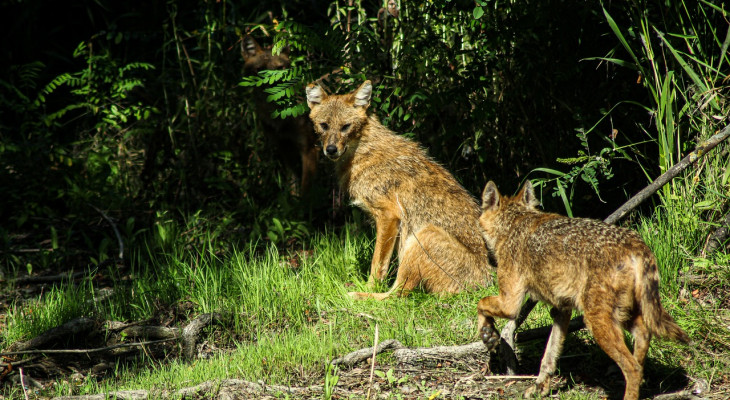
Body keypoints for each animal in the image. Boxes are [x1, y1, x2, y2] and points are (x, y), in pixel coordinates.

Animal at [242, 35, 318, 194]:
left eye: (280, 68)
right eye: (260, 70)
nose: (272, 85)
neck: (279, 117)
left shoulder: (308, 147)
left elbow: (306, 190)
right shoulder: (283, 147)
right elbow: (292, 184)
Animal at [304, 80, 492, 300]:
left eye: (345, 127)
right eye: (324, 126)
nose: (331, 149)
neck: (362, 151)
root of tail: (485, 284)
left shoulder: (389, 215)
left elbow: (377, 265)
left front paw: (368, 288)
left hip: (423, 235)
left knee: (396, 295)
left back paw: (356, 295)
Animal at [476, 180, 690, 400]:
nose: (487, 260)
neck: (514, 224)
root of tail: (635, 245)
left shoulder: (510, 303)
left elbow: (481, 303)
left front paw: (487, 332)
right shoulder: (561, 311)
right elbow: (549, 356)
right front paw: (540, 388)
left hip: (597, 322)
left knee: (633, 368)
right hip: (625, 315)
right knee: (643, 339)